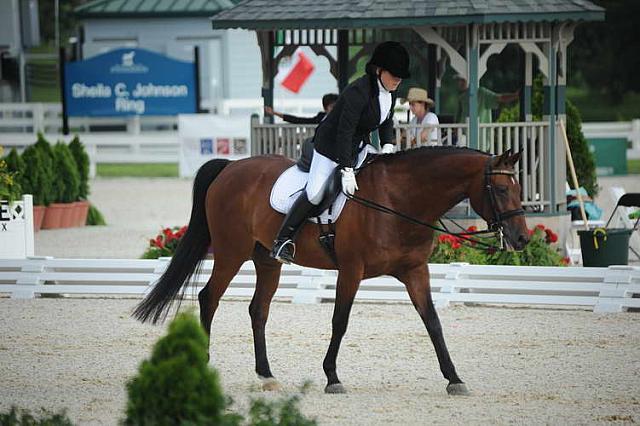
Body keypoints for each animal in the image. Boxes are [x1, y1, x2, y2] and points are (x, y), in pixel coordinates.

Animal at [132, 146, 528, 396]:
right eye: (500, 188)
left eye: (518, 187)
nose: (521, 238)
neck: (398, 199)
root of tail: (231, 167)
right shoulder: (351, 270)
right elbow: (340, 320)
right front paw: (332, 377)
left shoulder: (416, 271)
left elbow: (432, 322)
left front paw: (454, 378)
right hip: (231, 252)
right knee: (208, 298)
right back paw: (201, 364)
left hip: (267, 260)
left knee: (258, 310)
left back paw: (267, 376)